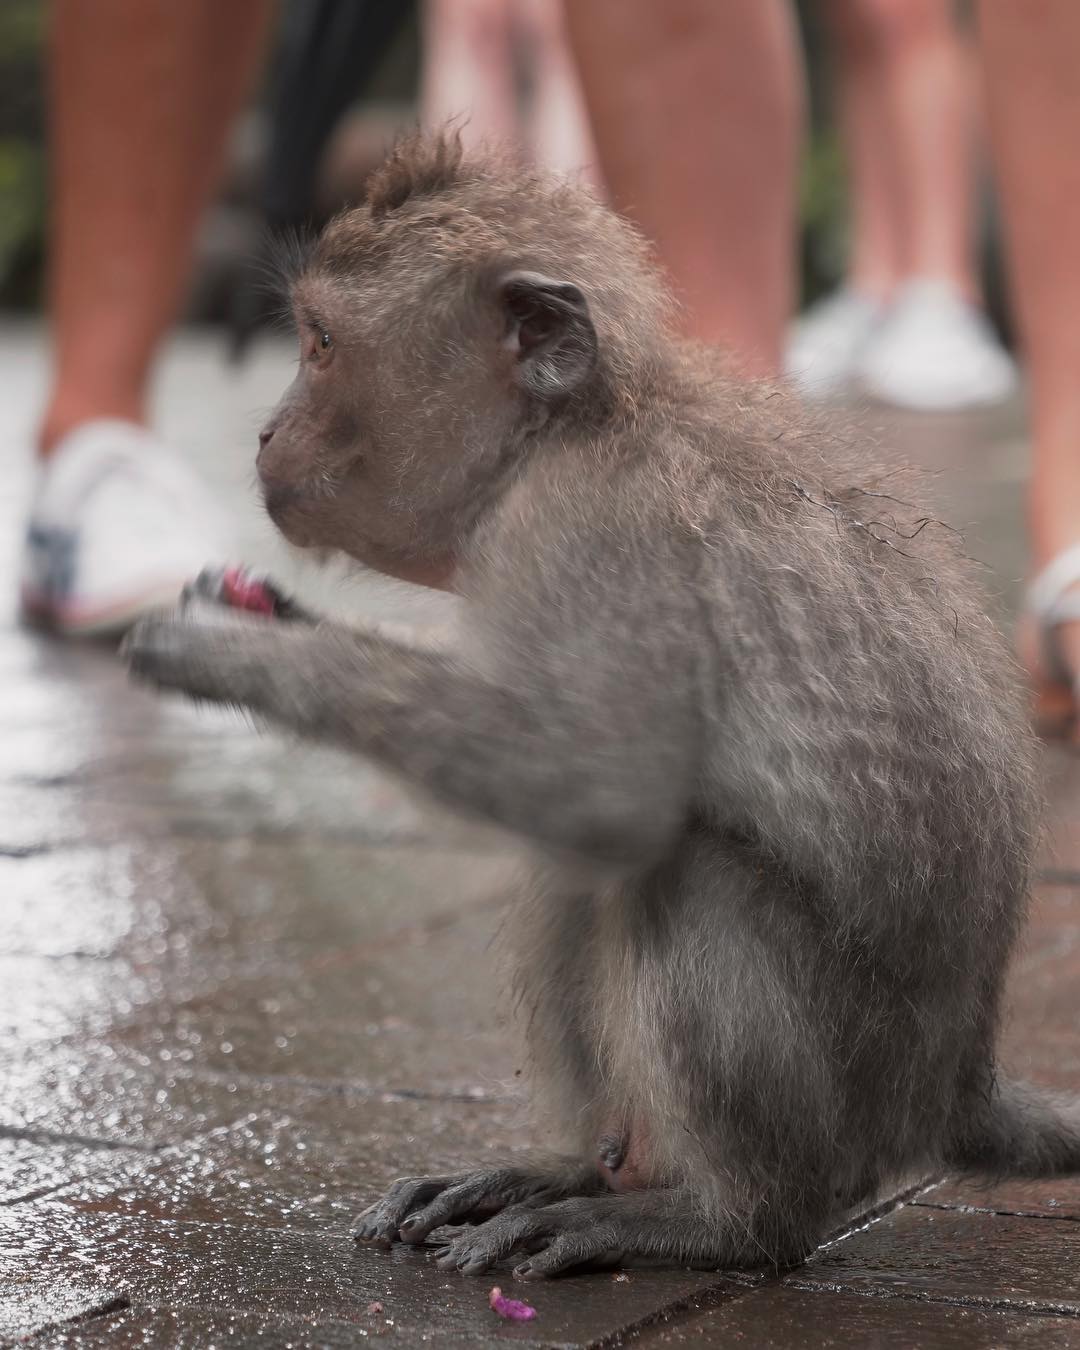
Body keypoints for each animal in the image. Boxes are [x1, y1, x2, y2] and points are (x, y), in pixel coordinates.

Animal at [123, 131, 1080, 1280]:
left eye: (318, 345)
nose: (265, 434)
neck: (576, 426)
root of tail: (959, 1083)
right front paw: (267, 615)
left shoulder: (588, 534)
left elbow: (601, 795)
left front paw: (237, 659)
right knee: (579, 882)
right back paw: (571, 1169)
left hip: (857, 1084)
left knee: (679, 870)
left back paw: (722, 1221)